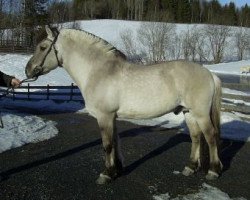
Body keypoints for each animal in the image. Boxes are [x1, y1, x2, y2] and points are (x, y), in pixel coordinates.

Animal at [25, 25, 223, 185]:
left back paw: (213, 171)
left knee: (211, 136)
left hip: (201, 114)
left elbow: (107, 145)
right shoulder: (112, 117)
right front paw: (116, 170)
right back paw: (190, 168)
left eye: (43, 47)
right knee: (196, 137)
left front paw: (106, 174)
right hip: (188, 112)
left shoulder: (104, 116)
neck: (98, 71)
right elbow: (115, 141)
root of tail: (208, 73)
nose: (28, 70)